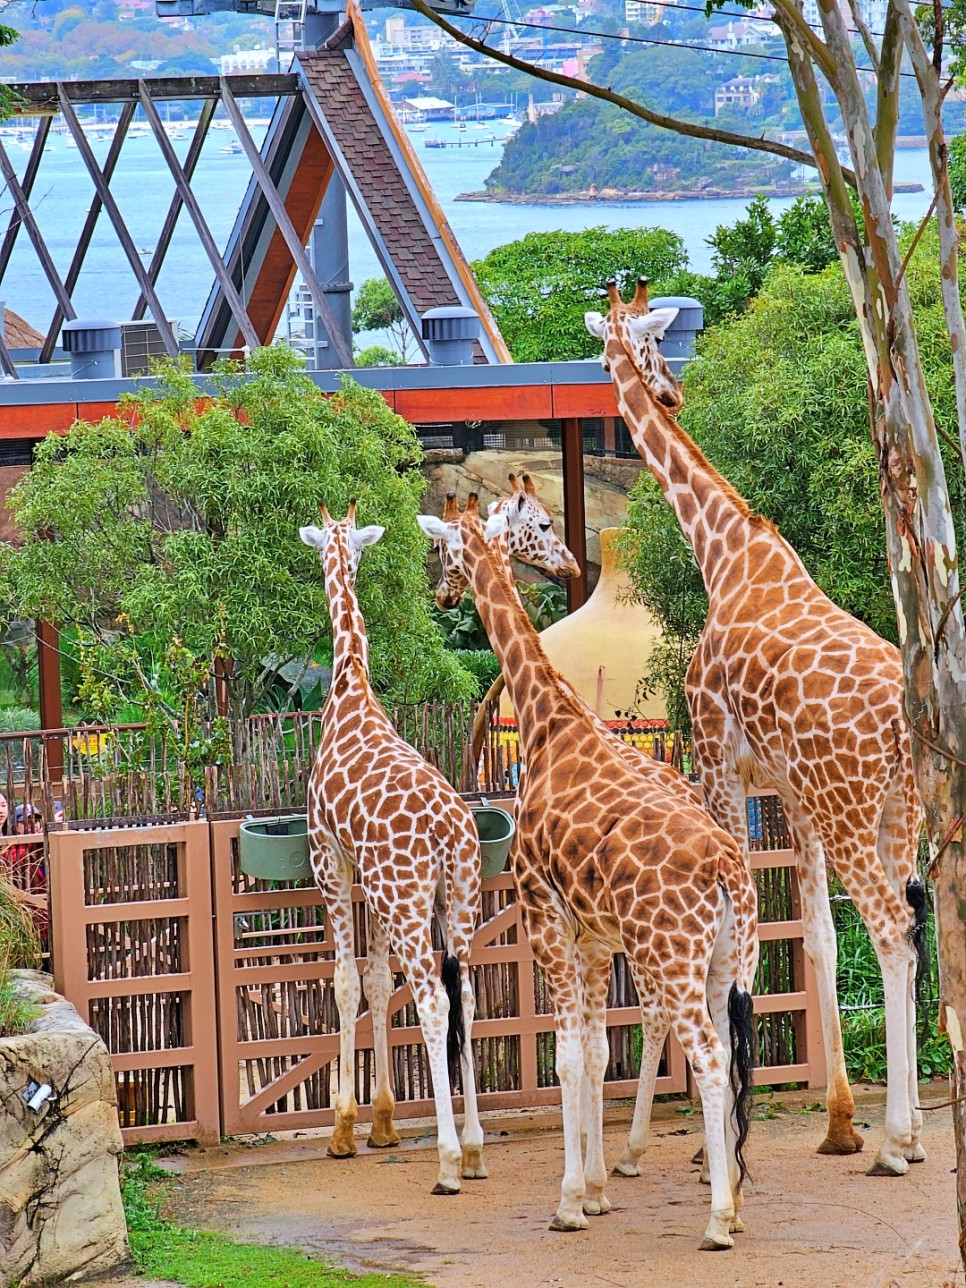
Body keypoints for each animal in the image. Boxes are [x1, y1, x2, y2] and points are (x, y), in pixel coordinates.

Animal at [298, 502, 486, 1195]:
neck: (350, 682)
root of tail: (445, 833)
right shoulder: (369, 880)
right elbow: (379, 984)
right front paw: (381, 1124)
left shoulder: (331, 857)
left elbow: (346, 982)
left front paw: (343, 1131)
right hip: (456, 897)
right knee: (467, 997)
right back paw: (476, 1147)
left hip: (406, 899)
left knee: (433, 999)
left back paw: (451, 1159)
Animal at [419, 492, 762, 1246]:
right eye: (544, 525)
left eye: (442, 547)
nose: (443, 594)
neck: (549, 720)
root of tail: (729, 869)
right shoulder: (595, 936)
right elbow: (598, 1050)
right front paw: (598, 1190)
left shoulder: (543, 914)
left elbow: (569, 1054)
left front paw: (572, 1200)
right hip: (728, 957)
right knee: (729, 1047)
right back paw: (725, 1186)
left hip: (670, 954)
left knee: (707, 1057)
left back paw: (719, 1217)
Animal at [582, 282, 932, 1179]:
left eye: (648, 341)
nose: (669, 390)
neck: (724, 551)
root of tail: (900, 723)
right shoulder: (792, 796)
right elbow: (814, 940)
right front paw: (839, 1121)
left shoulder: (717, 763)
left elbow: (731, 957)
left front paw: (666, 1149)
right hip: (894, 808)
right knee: (911, 926)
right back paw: (906, 1128)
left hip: (852, 810)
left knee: (892, 929)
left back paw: (898, 1142)